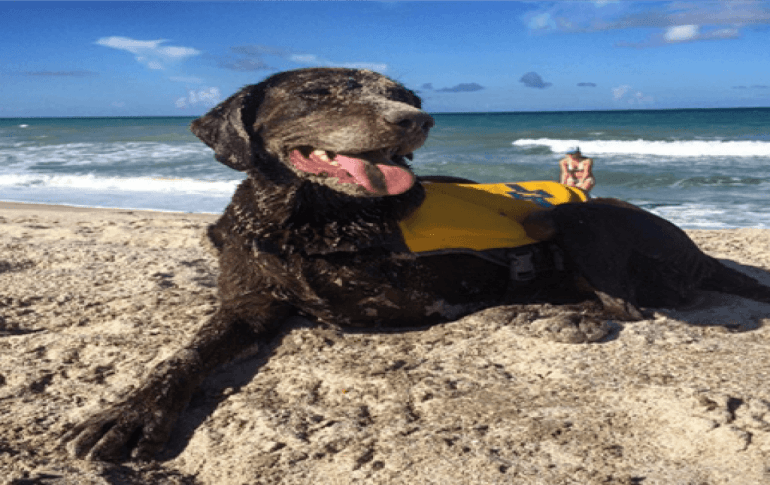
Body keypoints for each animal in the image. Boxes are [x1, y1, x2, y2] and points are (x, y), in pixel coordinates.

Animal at [63, 67, 770, 461]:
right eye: (317, 92)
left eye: (406, 94)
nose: (415, 119)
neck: (307, 218)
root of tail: (699, 252)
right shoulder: (247, 304)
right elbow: (183, 354)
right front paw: (131, 411)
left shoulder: (412, 299)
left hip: (582, 216)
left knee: (626, 305)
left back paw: (557, 313)